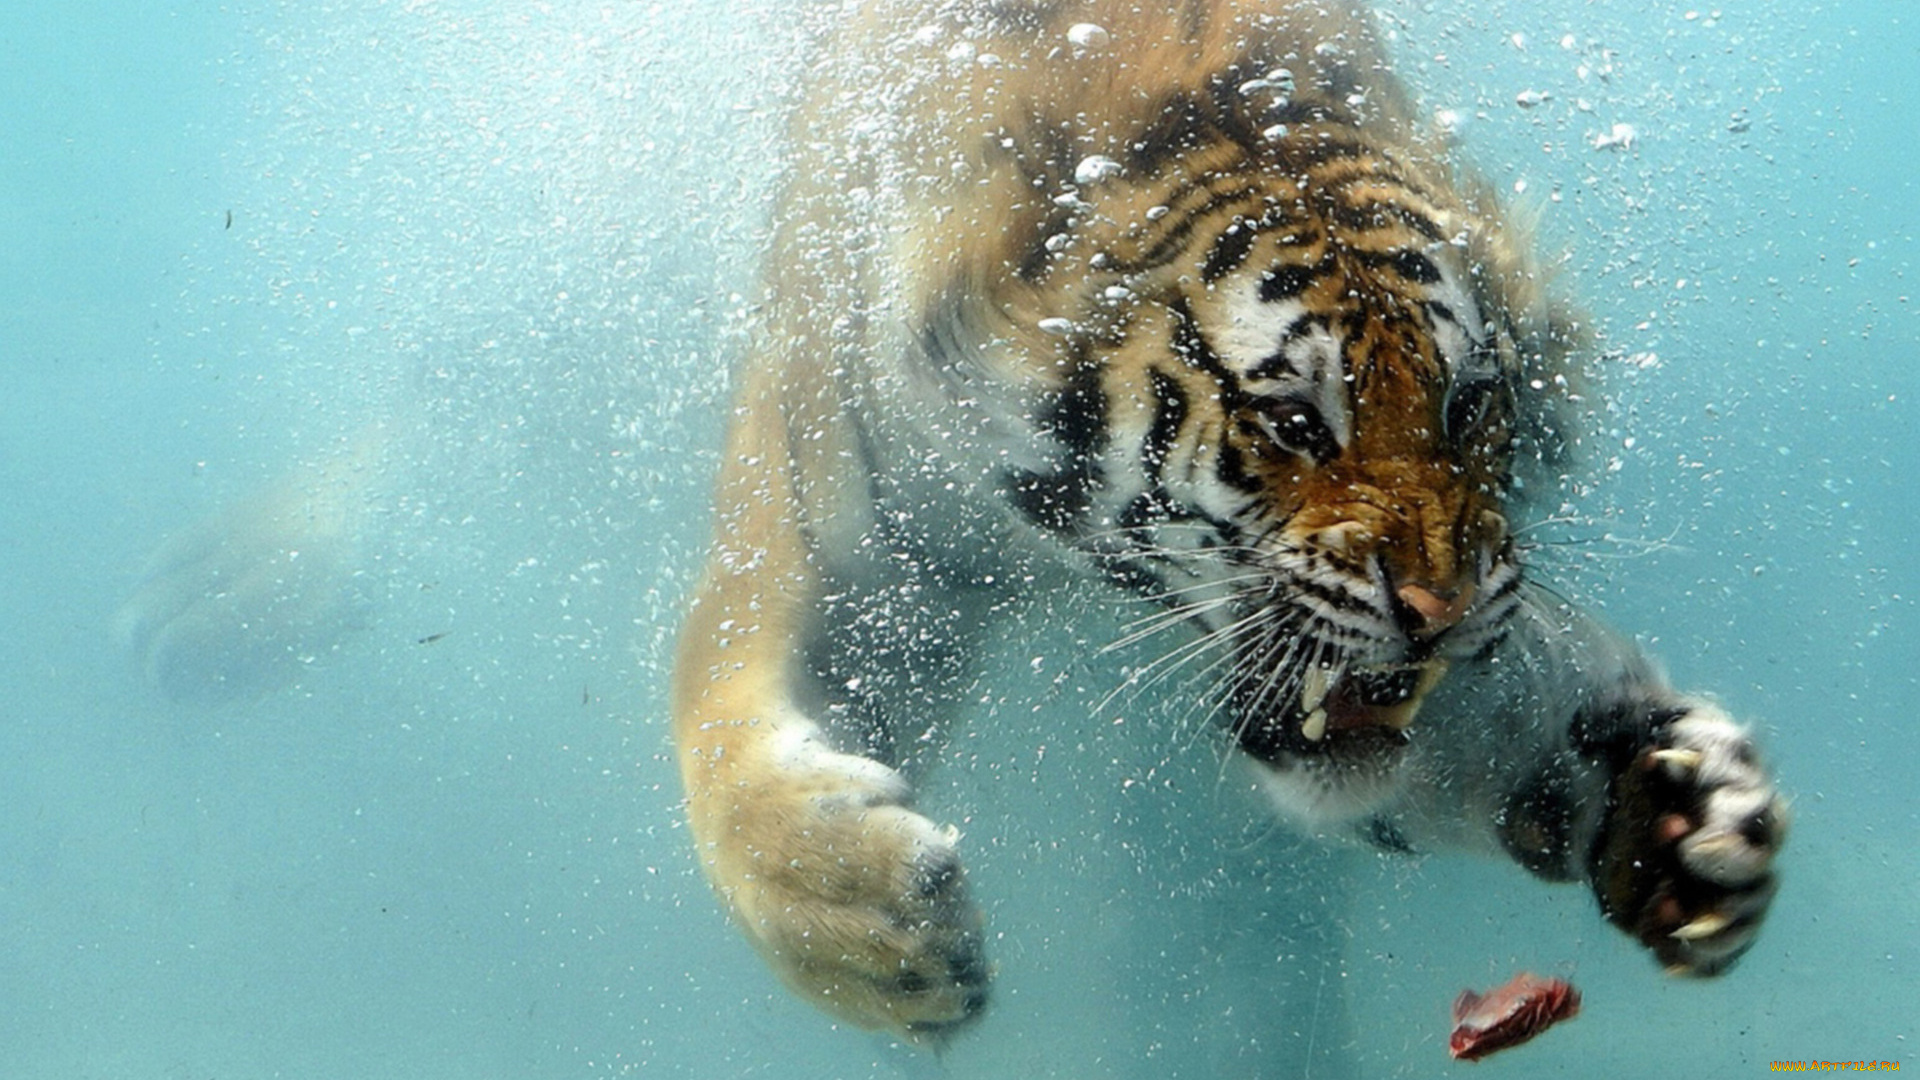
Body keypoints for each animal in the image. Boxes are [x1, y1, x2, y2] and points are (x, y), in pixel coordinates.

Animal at [670, 0, 1785, 1044]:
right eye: (1294, 421)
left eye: (1468, 404)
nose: (1444, 608)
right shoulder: (851, 551)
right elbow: (721, 727)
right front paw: (872, 921)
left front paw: (1680, 812)